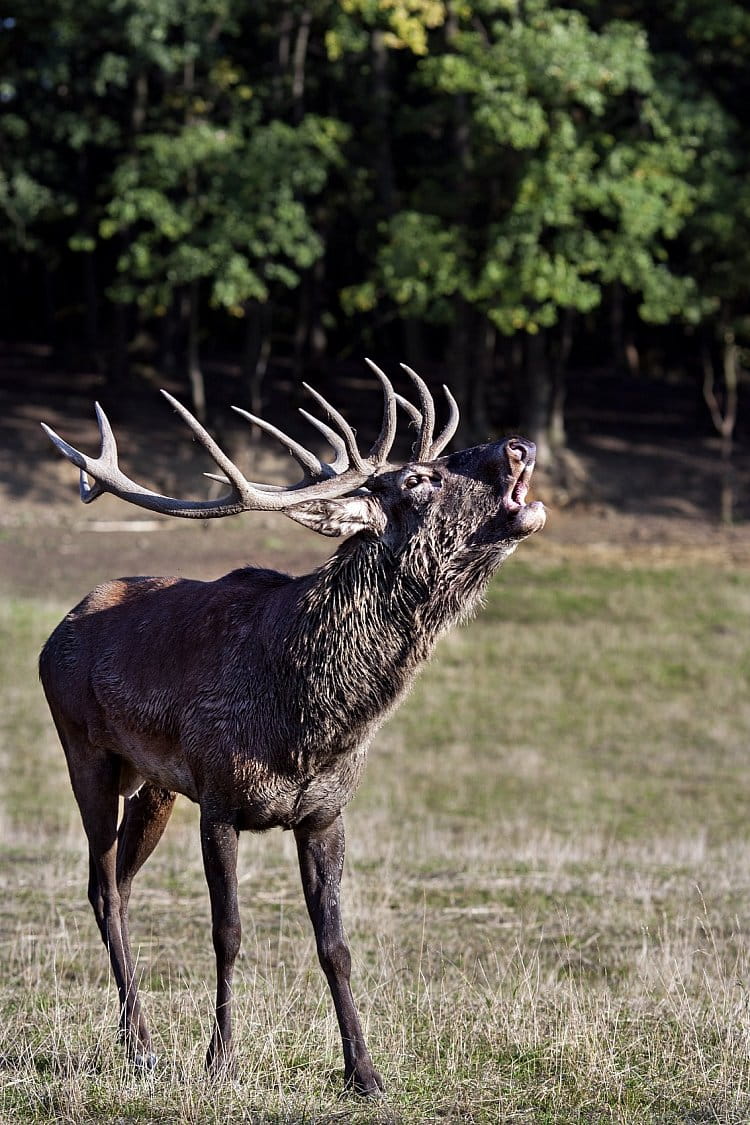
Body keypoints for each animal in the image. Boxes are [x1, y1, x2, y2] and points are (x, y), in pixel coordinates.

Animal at [39, 357, 546, 1089]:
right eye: (418, 479)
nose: (519, 445)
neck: (310, 728)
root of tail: (59, 628)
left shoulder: (325, 813)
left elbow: (335, 945)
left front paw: (365, 1070)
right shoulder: (219, 800)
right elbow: (228, 933)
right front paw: (221, 1059)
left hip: (155, 785)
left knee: (121, 886)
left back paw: (137, 1038)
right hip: (88, 755)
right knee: (101, 886)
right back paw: (140, 1043)